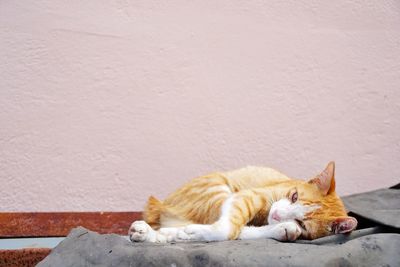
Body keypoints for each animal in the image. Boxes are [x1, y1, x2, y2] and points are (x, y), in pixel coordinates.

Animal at [130, 162, 358, 244]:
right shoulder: (248, 196)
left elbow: (234, 230)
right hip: (216, 188)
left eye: (304, 223)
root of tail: (160, 205)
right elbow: (228, 229)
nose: (276, 216)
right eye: (294, 196)